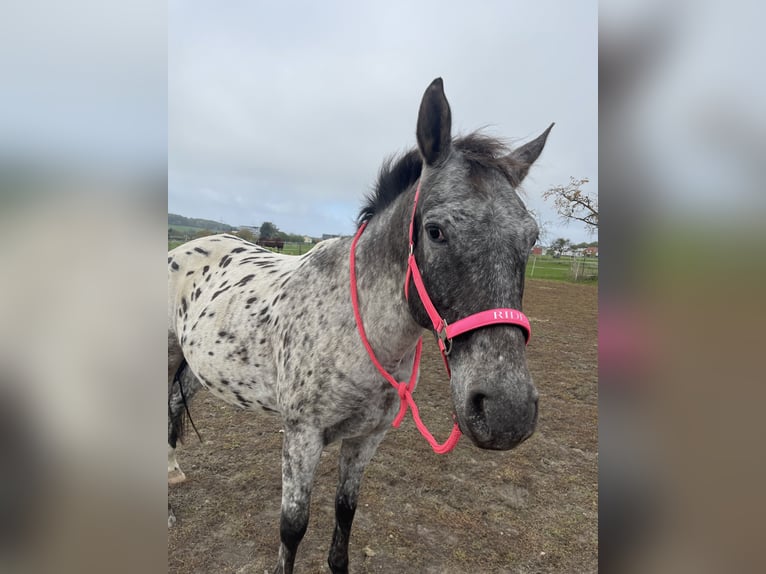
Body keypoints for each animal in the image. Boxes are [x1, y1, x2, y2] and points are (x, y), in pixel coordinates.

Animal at [168, 77, 552, 574]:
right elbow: (292, 528)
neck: (354, 329)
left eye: (531, 237)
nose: (508, 413)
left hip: (195, 369)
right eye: (435, 231)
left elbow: (345, 513)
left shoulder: (367, 439)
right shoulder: (302, 436)